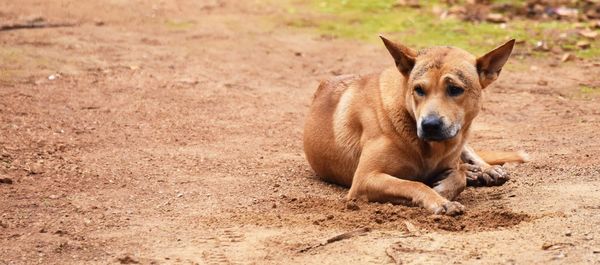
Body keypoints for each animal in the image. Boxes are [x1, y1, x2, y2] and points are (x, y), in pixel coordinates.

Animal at [302, 36, 528, 214]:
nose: (430, 125)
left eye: (455, 89)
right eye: (418, 89)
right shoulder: (365, 179)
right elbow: (415, 184)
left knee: (467, 155)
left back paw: (485, 170)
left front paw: (448, 187)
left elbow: (458, 177)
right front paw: (440, 200)